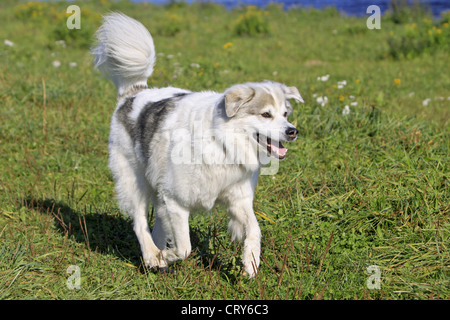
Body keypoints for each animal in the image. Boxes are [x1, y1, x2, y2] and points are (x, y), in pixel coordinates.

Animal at [91, 12, 302, 278]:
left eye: (285, 113)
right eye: (266, 114)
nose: (292, 131)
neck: (222, 142)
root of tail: (133, 94)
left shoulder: (238, 200)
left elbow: (255, 230)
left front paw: (250, 262)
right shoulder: (176, 202)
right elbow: (184, 248)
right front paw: (167, 256)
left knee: (157, 225)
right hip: (133, 181)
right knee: (140, 222)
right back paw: (152, 256)